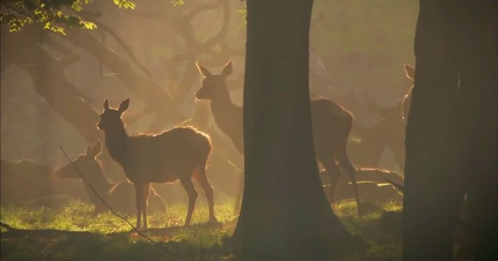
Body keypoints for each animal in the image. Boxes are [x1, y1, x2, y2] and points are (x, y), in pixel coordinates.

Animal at [96, 98, 217, 229]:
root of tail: (207, 142)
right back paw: (212, 219)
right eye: (102, 115)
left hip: (184, 169)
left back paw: (187, 222)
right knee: (209, 189)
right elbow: (145, 203)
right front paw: (145, 226)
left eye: (113, 116)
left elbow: (138, 203)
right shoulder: (146, 179)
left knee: (194, 193)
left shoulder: (138, 177)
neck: (124, 153)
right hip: (198, 168)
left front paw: (138, 226)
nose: (99, 125)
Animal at [195, 60, 362, 212]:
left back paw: (332, 203)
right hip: (339, 144)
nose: (197, 94)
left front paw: (238, 210)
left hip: (324, 144)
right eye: (204, 81)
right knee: (350, 168)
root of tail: (347, 115)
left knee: (335, 172)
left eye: (211, 83)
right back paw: (359, 207)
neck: (233, 125)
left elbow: (243, 175)